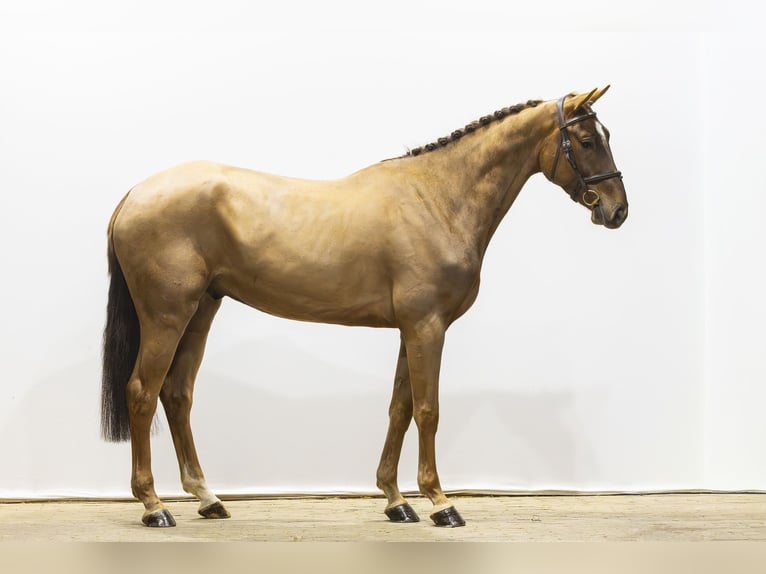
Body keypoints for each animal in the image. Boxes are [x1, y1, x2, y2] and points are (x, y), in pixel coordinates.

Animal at [101, 87, 627, 528]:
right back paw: (154, 507)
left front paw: (396, 501)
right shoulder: (427, 327)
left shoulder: (411, 329)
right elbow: (428, 410)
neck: (437, 198)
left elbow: (399, 408)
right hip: (167, 317)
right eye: (585, 139)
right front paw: (441, 503)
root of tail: (134, 195)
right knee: (142, 393)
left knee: (177, 394)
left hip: (201, 312)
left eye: (604, 136)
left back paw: (208, 499)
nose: (617, 210)